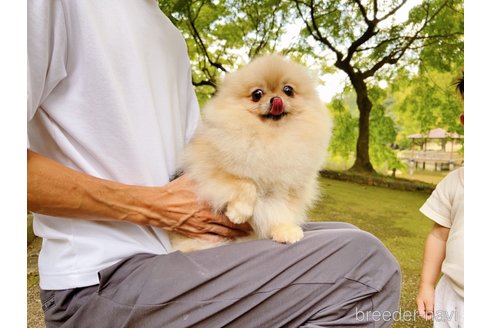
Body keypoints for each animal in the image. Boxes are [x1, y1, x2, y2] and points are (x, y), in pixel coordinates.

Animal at [171, 55, 332, 252]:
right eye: (257, 94)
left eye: (288, 90)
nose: (276, 99)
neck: (271, 137)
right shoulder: (208, 168)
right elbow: (245, 183)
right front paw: (239, 212)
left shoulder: (290, 187)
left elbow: (282, 210)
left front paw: (285, 229)